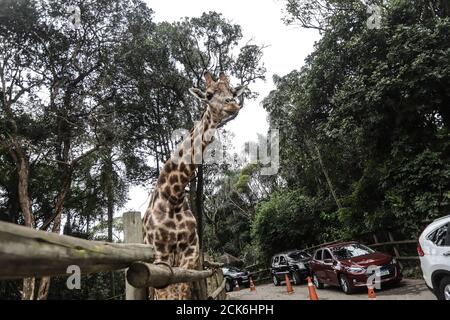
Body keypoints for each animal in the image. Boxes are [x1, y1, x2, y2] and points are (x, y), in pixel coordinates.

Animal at [142, 71, 244, 298]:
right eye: (208, 95)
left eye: (232, 91)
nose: (233, 104)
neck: (174, 195)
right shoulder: (160, 252)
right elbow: (166, 293)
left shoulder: (190, 250)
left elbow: (181, 289)